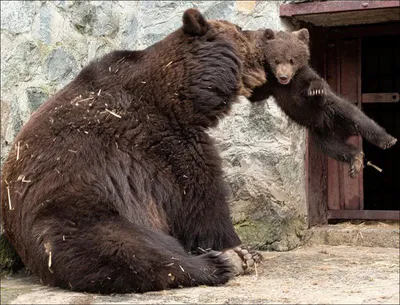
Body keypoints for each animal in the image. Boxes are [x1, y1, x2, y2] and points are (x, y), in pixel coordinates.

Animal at [0, 9, 272, 294]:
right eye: (240, 28)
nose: (267, 33)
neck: (182, 95)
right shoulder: (165, 141)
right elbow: (202, 200)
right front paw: (240, 248)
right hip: (73, 210)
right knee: (126, 250)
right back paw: (221, 263)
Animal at [250, 28, 396, 178]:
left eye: (292, 60)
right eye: (276, 60)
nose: (283, 76)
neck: (287, 84)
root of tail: (344, 131)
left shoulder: (303, 79)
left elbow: (317, 87)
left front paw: (316, 89)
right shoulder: (272, 86)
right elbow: (257, 94)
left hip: (338, 112)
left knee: (360, 119)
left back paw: (387, 140)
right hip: (321, 135)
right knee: (335, 149)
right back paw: (355, 161)